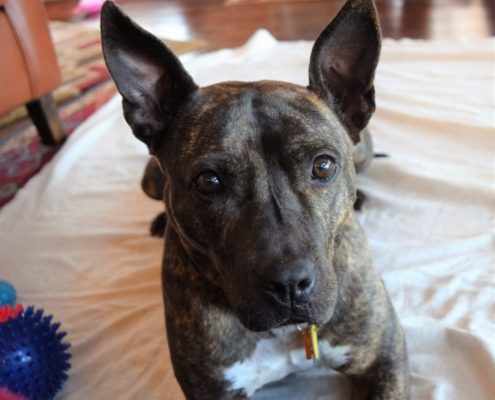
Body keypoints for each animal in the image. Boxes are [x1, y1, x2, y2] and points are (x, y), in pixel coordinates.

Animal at [101, 1, 410, 398]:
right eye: (209, 182)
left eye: (323, 165)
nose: (289, 284)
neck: (285, 333)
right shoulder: (212, 389)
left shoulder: (383, 356)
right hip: (150, 180)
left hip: (365, 150)